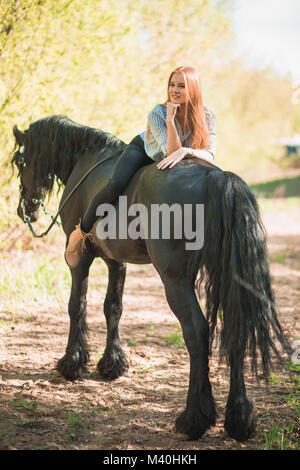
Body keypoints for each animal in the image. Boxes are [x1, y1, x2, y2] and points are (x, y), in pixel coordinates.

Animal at [12, 115, 290, 442]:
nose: (25, 209)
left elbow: (76, 306)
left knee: (197, 332)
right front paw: (112, 364)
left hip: (175, 281)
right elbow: (113, 307)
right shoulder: (116, 261)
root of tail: (217, 178)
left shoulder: (80, 260)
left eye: (19, 161)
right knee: (235, 328)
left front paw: (73, 363)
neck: (87, 158)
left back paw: (193, 419)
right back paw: (239, 420)